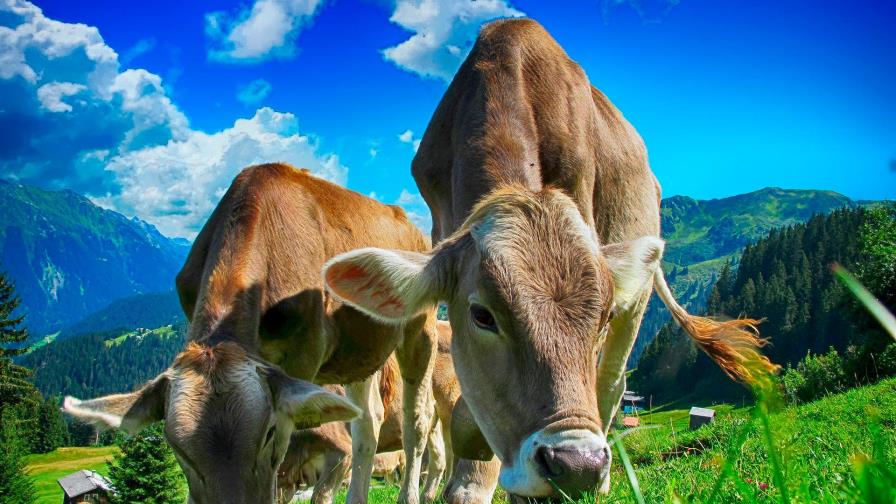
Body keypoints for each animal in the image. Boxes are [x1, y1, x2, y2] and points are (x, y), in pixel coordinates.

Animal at [64, 163, 441, 504]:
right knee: (368, 422)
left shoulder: (303, 357)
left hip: (421, 329)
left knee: (417, 422)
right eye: (177, 449)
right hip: (360, 352)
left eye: (268, 433)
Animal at [322, 19, 777, 500]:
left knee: (612, 382)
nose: (578, 465)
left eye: (602, 315)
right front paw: (470, 480)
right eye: (482, 315)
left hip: (637, 297)